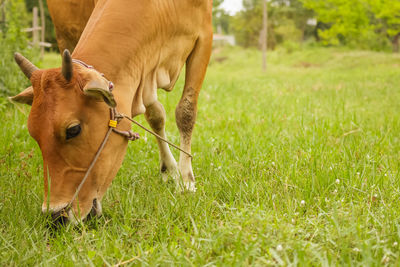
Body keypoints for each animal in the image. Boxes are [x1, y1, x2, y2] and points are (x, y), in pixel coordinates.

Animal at [10, 0, 212, 224]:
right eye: (33, 134)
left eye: (73, 129)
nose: (56, 215)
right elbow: (156, 115)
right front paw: (172, 170)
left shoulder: (204, 34)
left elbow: (185, 111)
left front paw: (186, 180)